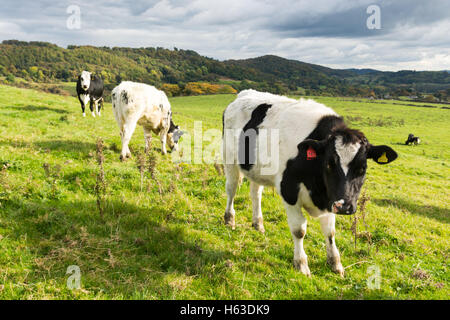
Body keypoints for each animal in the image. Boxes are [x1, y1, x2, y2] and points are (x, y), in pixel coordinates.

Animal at [221, 89, 398, 276]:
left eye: (362, 168)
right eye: (329, 163)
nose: (344, 207)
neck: (319, 190)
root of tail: (245, 93)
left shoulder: (331, 198)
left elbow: (330, 231)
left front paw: (335, 263)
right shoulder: (289, 192)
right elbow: (299, 230)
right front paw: (301, 264)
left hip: (257, 169)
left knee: (256, 194)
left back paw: (258, 224)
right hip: (229, 158)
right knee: (231, 189)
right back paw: (229, 219)